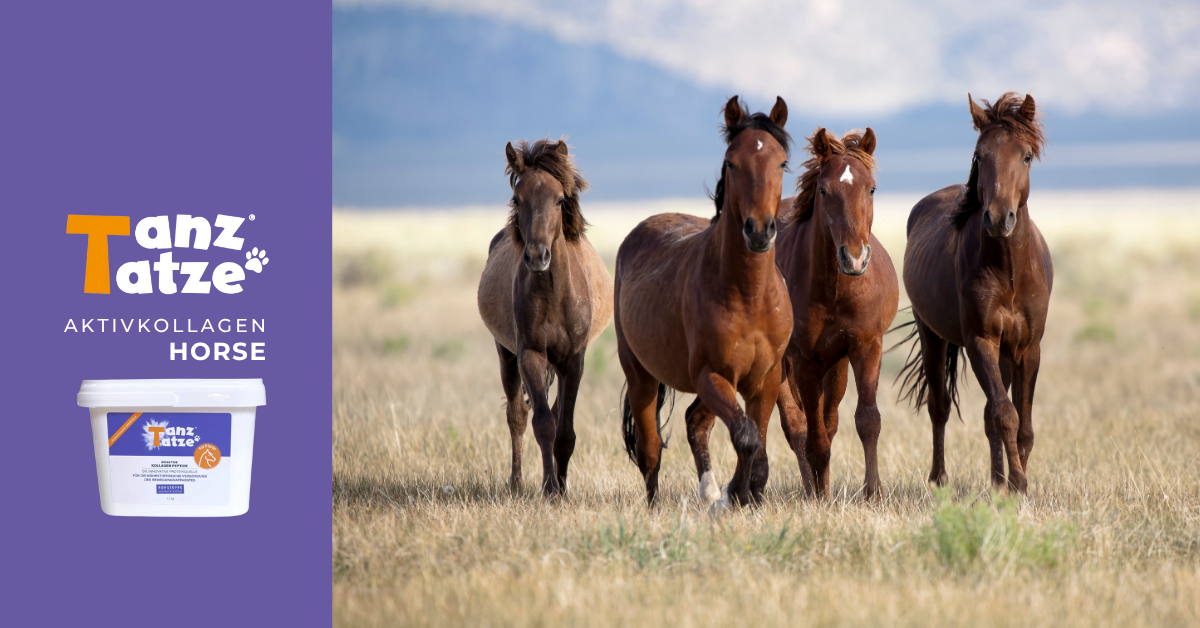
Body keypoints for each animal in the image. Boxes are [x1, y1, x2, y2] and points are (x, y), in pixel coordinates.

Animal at [477, 138, 614, 497]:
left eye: (560, 199)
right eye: (517, 198)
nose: (538, 256)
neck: (554, 295)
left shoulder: (573, 360)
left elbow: (565, 430)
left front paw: (561, 487)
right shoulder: (531, 355)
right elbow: (543, 425)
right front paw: (550, 489)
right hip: (506, 354)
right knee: (517, 416)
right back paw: (517, 482)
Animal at [615, 96, 794, 509]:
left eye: (781, 162)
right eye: (731, 162)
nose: (759, 231)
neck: (749, 296)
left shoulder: (765, 379)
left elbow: (758, 443)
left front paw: (746, 495)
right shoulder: (713, 375)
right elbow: (746, 436)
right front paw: (735, 495)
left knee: (696, 423)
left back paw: (710, 493)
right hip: (641, 376)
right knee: (650, 450)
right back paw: (660, 506)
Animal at [773, 127, 899, 499]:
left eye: (871, 188)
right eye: (823, 190)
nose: (854, 258)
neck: (834, 290)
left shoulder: (865, 347)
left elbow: (867, 420)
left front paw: (873, 493)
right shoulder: (804, 361)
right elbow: (813, 438)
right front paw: (819, 499)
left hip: (836, 365)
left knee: (828, 423)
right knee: (798, 427)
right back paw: (813, 492)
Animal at [896, 93, 1052, 493]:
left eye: (1025, 156)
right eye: (980, 155)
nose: (998, 219)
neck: (1009, 271)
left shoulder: (1027, 348)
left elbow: (1023, 425)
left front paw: (1014, 481)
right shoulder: (980, 341)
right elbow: (1006, 414)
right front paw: (1018, 483)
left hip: (1004, 353)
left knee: (985, 415)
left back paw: (996, 481)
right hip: (932, 335)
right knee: (939, 407)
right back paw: (939, 478)